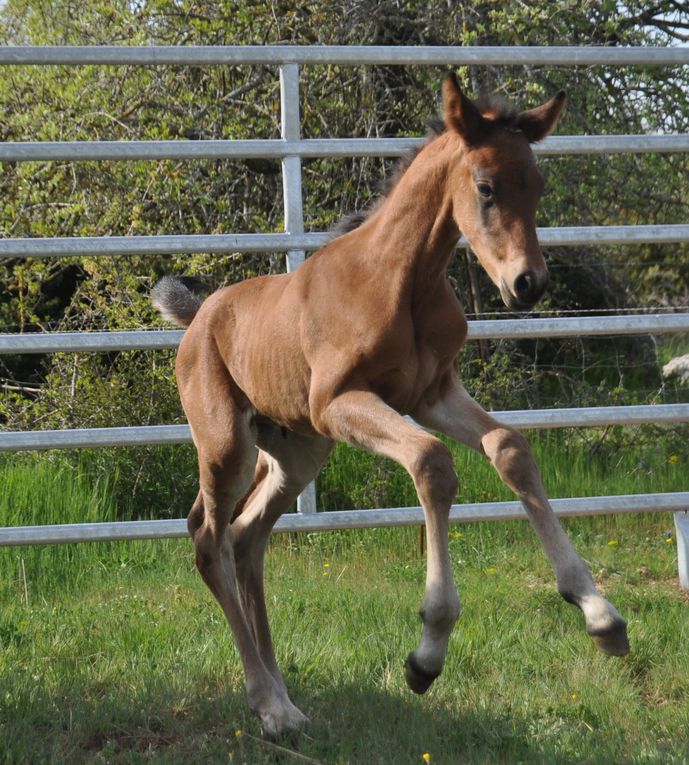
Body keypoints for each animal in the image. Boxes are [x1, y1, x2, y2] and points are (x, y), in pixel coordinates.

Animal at [155, 74, 628, 736]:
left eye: (536, 186)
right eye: (485, 187)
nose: (528, 284)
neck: (402, 280)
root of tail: (199, 318)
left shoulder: (431, 393)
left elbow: (509, 446)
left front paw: (599, 614)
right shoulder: (340, 402)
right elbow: (432, 463)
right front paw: (426, 655)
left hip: (296, 453)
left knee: (247, 539)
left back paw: (286, 699)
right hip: (229, 445)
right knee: (207, 537)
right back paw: (268, 705)